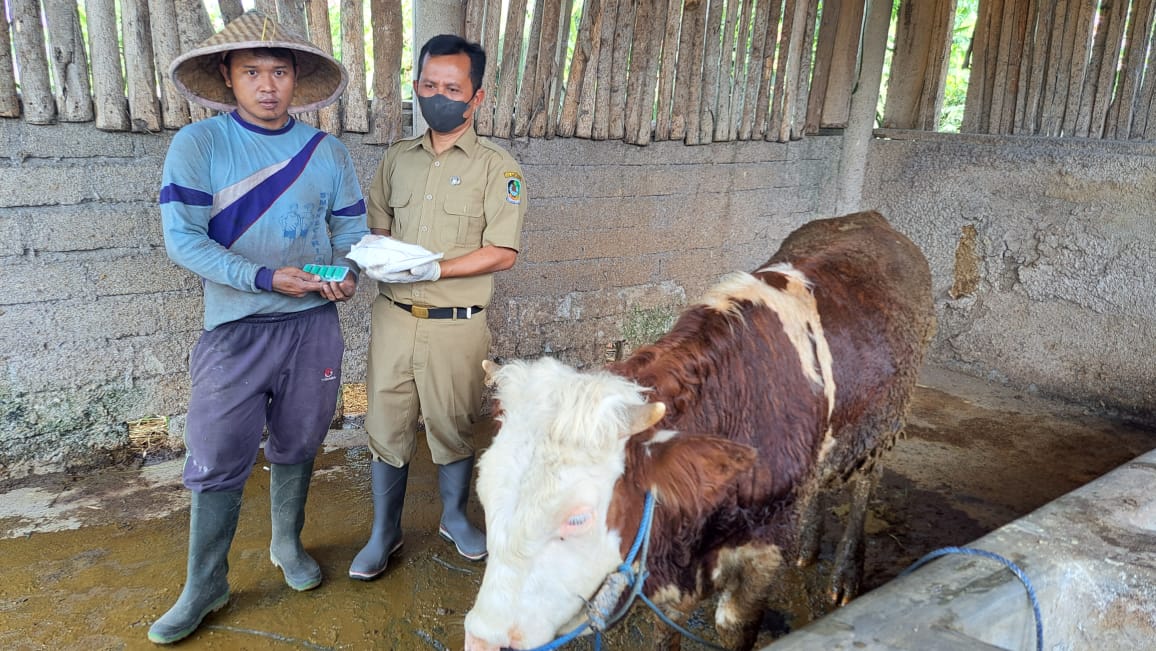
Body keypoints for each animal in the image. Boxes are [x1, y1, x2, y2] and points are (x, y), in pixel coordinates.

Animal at [464, 211, 934, 647]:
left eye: (578, 518)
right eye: (484, 495)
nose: (482, 638)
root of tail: (869, 218)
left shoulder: (759, 557)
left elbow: (735, 626)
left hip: (885, 424)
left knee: (864, 486)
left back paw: (846, 574)